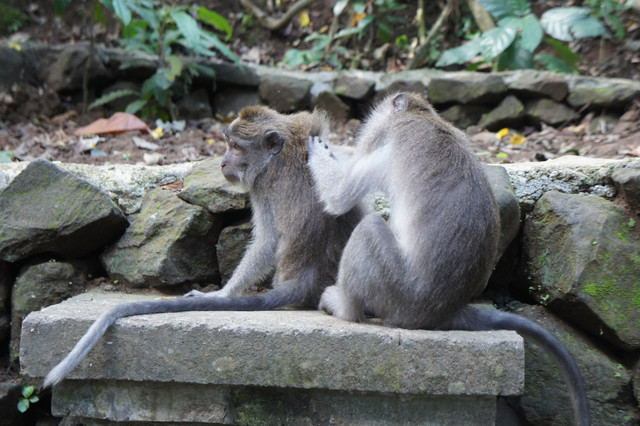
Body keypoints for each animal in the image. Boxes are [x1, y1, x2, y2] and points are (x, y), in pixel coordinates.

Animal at [43, 105, 364, 388]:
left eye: (236, 147)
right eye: (227, 143)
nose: (222, 162)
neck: (285, 149)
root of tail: (306, 276)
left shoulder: (262, 185)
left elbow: (267, 241)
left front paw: (223, 294)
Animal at [308, 93, 588, 426]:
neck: (423, 117)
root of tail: (445, 311)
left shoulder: (385, 149)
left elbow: (338, 199)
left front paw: (319, 148)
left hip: (398, 292)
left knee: (370, 229)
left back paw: (343, 307)